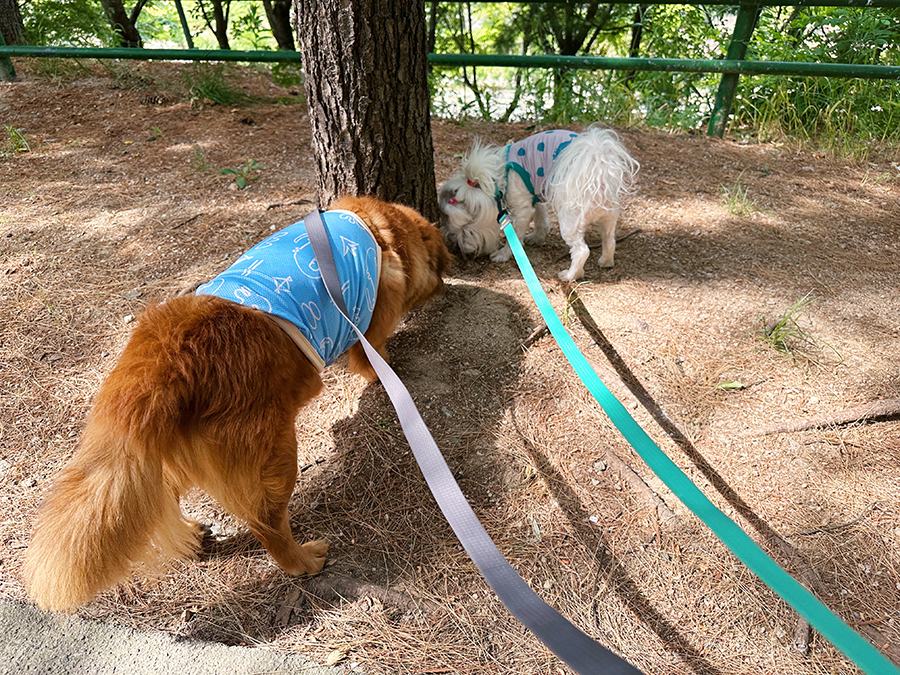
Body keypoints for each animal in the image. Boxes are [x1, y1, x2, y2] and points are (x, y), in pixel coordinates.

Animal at [438, 126, 636, 280]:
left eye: (467, 230)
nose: (458, 248)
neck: (495, 175)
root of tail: (599, 171)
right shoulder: (534, 194)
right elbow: (541, 218)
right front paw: (537, 237)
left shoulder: (521, 209)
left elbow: (514, 238)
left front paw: (503, 254)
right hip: (609, 216)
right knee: (609, 240)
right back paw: (606, 261)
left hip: (570, 219)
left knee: (581, 251)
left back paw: (570, 275)